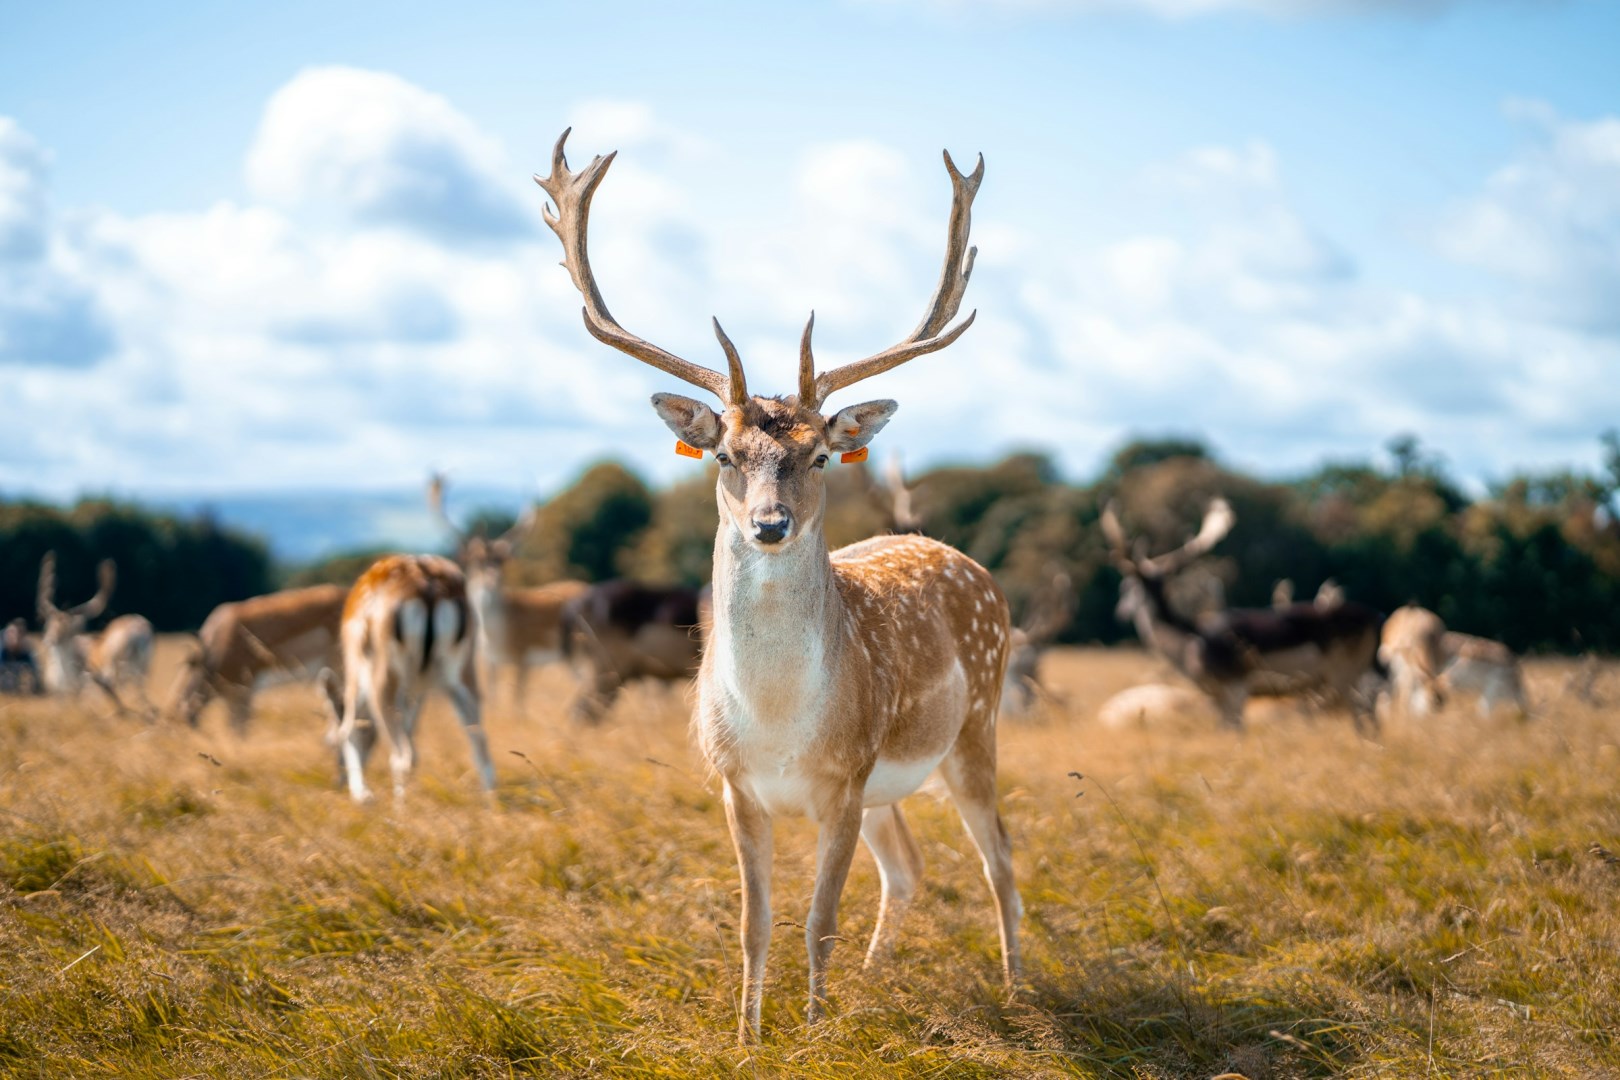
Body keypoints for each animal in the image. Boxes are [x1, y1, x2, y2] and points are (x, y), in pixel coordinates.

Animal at [36, 552, 154, 715]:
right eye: (48, 624)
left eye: (68, 627)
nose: (49, 640)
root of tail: (138, 631)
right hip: (142, 665)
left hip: (116, 665)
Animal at [331, 554, 495, 804]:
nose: (337, 781)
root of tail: (428, 589)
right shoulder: (417, 691)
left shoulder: (356, 671)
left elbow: (351, 730)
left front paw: (363, 797)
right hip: (461, 672)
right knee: (480, 744)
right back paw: (491, 807)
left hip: (384, 676)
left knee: (402, 755)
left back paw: (398, 809)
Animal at [427, 474, 589, 711]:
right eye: (474, 561)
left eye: (501, 560)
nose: (491, 579)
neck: (497, 635)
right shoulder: (489, 661)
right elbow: (493, 697)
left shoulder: (523, 656)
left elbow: (517, 701)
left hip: (580, 650)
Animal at [534, 129, 1019, 1041]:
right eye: (727, 454)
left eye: (821, 455)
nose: (769, 524)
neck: (777, 725)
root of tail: (967, 564)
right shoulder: (733, 783)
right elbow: (754, 922)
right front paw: (750, 1036)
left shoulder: (846, 777)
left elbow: (816, 919)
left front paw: (815, 1032)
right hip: (895, 786)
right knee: (910, 867)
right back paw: (872, 982)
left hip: (975, 725)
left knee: (1000, 857)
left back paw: (1016, 986)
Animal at [1103, 500, 1385, 734]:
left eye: (1127, 587)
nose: (1119, 613)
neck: (1190, 646)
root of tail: (1377, 618)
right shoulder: (1217, 695)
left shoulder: (1236, 685)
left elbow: (1236, 730)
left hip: (1344, 671)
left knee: (1364, 711)